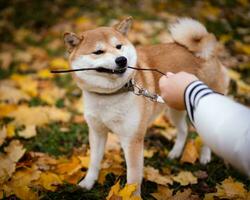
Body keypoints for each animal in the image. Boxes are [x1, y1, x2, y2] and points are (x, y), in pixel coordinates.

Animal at [63, 16, 229, 195]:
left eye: (118, 46)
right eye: (98, 52)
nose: (122, 60)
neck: (110, 95)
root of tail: (206, 51)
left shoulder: (132, 140)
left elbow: (134, 177)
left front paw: (133, 196)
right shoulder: (97, 132)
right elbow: (94, 161)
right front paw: (88, 182)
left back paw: (205, 156)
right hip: (174, 110)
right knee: (183, 130)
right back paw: (175, 152)